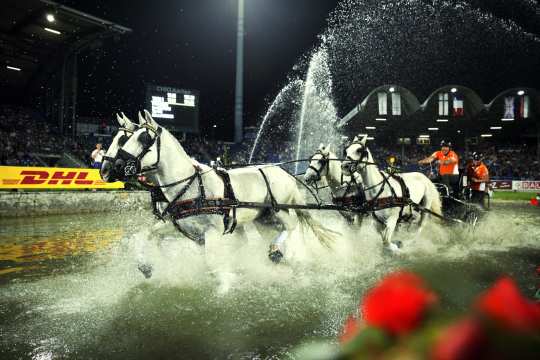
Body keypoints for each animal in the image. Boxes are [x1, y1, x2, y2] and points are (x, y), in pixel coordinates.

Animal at [110, 111, 338, 262]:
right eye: (125, 138)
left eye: (143, 138)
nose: (113, 166)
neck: (191, 184)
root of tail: (285, 173)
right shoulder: (184, 228)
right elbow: (151, 234)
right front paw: (146, 265)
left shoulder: (213, 232)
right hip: (264, 219)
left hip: (279, 210)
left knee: (291, 226)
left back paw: (276, 250)